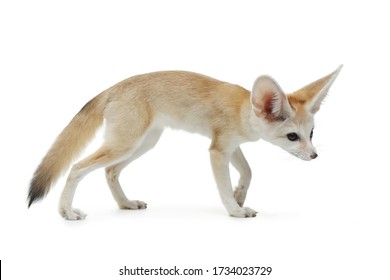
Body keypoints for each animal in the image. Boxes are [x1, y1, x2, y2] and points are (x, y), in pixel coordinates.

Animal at [26, 66, 342, 220]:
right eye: (292, 137)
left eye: (311, 134)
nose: (314, 156)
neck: (243, 107)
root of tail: (114, 87)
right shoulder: (217, 150)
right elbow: (224, 186)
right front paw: (235, 210)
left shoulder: (230, 146)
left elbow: (249, 172)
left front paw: (240, 195)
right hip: (124, 145)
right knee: (76, 168)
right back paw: (66, 212)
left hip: (143, 144)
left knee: (110, 171)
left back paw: (125, 204)